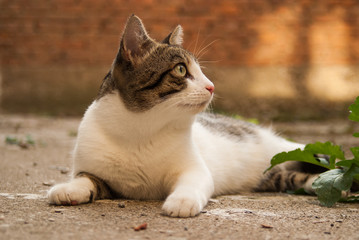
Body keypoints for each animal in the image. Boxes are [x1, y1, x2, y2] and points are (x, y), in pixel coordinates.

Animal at [47, 14, 318, 218]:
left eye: (201, 70)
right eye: (180, 69)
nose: (211, 86)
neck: (141, 131)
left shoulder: (195, 169)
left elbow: (192, 182)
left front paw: (181, 201)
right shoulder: (93, 168)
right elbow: (85, 178)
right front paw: (68, 189)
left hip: (282, 147)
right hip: (273, 175)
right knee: (295, 178)